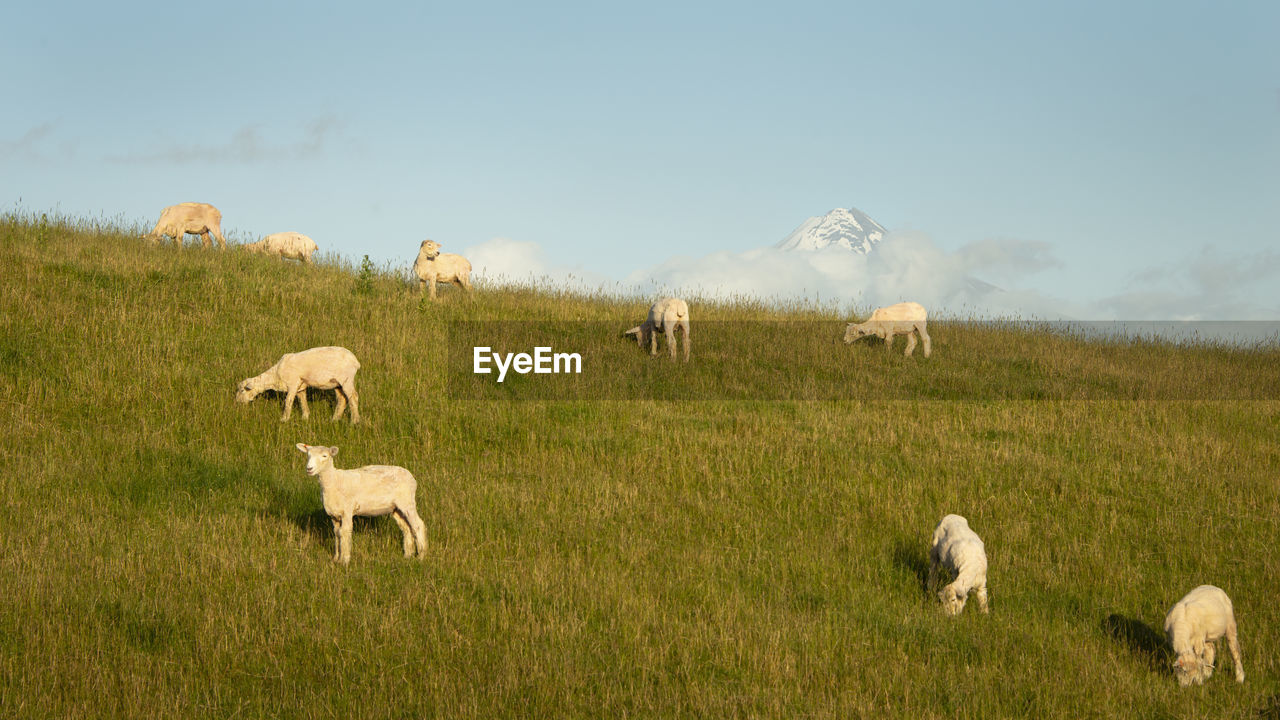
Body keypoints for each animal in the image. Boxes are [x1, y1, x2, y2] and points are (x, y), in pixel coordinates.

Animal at [293, 440, 424, 563]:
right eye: (308, 455)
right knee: (406, 528)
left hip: (407, 501)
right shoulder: (334, 514)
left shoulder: (347, 510)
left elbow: (344, 532)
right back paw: (408, 555)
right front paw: (336, 558)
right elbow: (337, 533)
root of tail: (412, 477)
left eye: (324, 456)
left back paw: (421, 555)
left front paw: (344, 560)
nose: (309, 469)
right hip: (395, 508)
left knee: (418, 525)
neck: (334, 480)